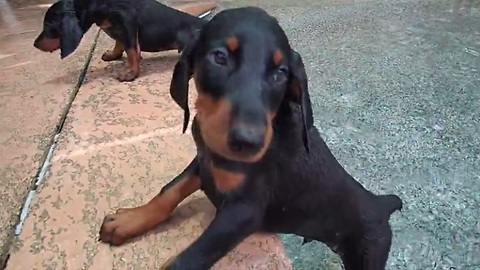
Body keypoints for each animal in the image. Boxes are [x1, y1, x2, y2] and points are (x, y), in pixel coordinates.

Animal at [33, 0, 212, 81]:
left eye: (48, 25)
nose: (34, 44)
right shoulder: (119, 30)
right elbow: (120, 43)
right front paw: (113, 55)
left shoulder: (127, 21)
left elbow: (131, 50)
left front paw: (130, 72)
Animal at [97, 6, 402, 270]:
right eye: (220, 57)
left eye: (281, 73)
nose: (248, 142)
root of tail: (381, 204)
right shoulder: (204, 160)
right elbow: (170, 191)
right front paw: (130, 220)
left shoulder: (244, 211)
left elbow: (189, 257)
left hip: (368, 251)